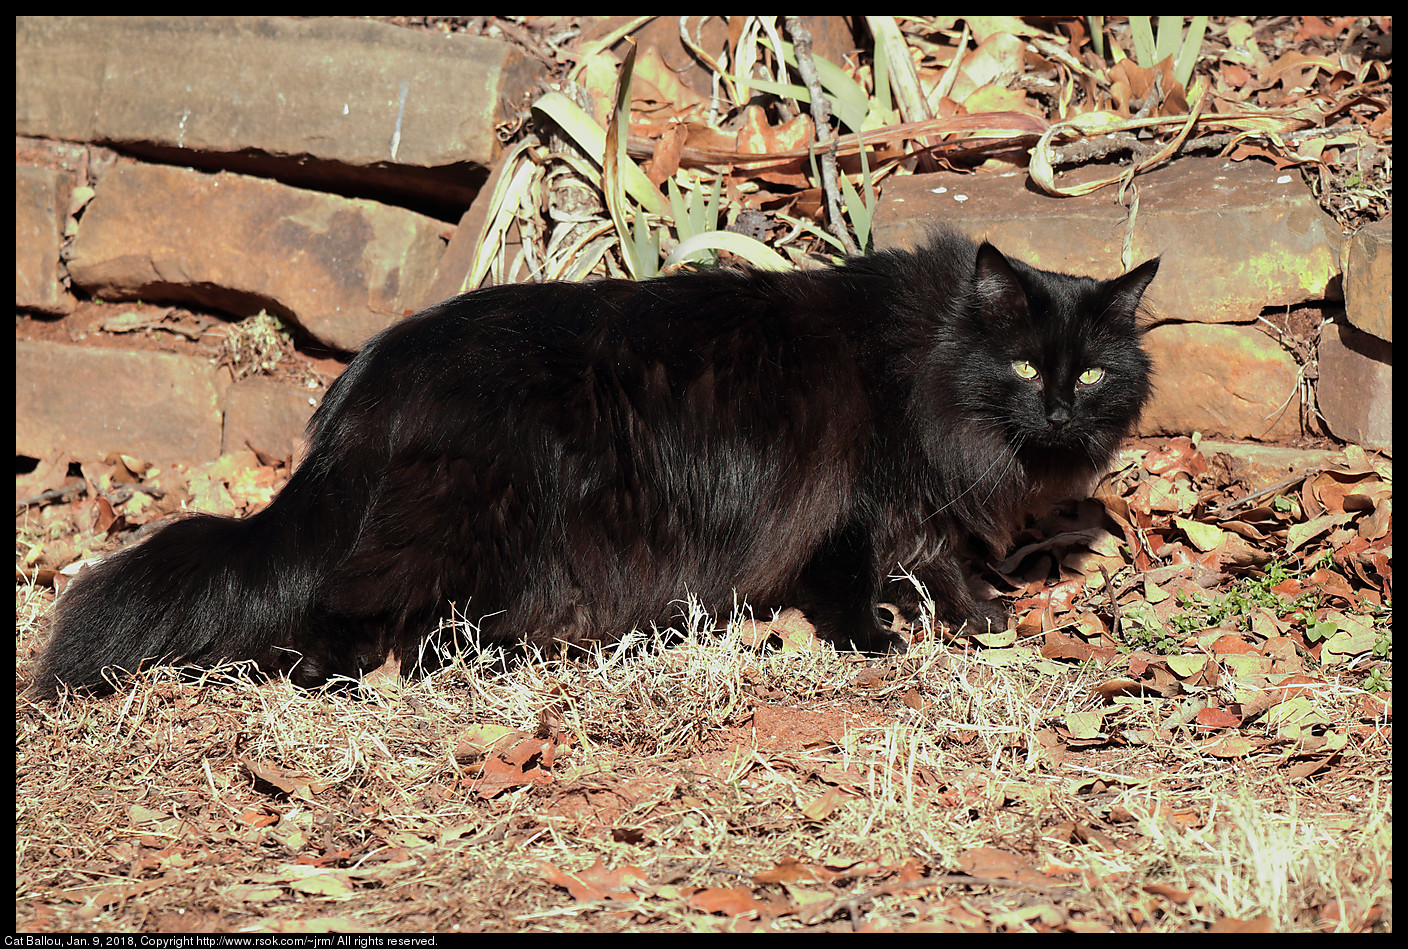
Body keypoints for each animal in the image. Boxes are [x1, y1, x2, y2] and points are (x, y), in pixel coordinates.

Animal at [33, 225, 1160, 689]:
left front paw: (987, 624)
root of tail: (371, 376)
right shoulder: (853, 503)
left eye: (1095, 373)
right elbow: (857, 583)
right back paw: (348, 682)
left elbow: (949, 566)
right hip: (468, 525)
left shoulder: (925, 508)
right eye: (1026, 363)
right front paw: (879, 648)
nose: (1061, 408)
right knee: (343, 612)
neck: (924, 364)